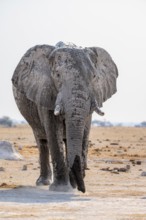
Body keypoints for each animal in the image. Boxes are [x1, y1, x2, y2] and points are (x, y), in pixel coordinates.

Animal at [12, 41, 118, 192]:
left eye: (94, 77)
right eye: (57, 75)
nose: (82, 189)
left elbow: (84, 132)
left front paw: (72, 186)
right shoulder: (46, 92)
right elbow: (53, 132)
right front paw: (61, 188)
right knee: (42, 141)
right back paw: (43, 182)